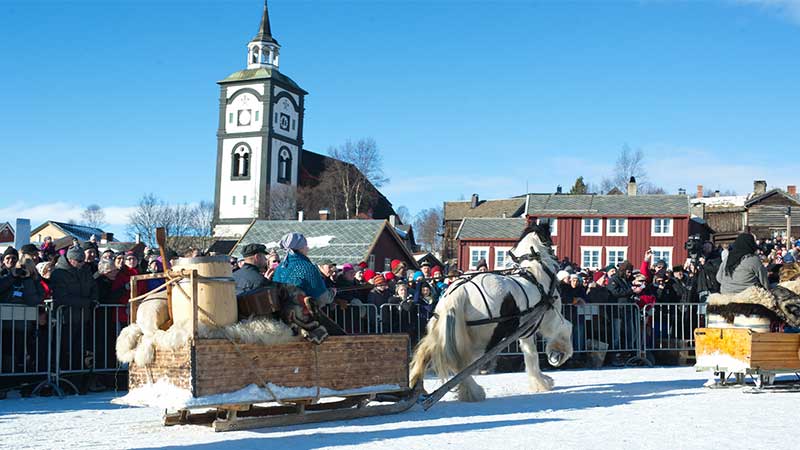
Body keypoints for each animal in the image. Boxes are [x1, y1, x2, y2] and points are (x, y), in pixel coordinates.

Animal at [410, 223, 572, 402]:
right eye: (550, 239)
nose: (559, 259)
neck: (535, 272)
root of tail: (458, 292)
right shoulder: (551, 318)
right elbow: (566, 328)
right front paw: (558, 354)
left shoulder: (526, 331)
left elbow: (530, 354)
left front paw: (539, 381)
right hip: (483, 340)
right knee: (462, 365)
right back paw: (474, 392)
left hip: (443, 332)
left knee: (426, 352)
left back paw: (415, 383)